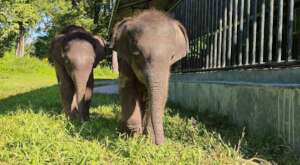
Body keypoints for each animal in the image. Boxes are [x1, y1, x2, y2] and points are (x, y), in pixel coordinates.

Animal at [110, 9, 190, 145]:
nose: (161, 145)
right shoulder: (124, 61)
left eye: (171, 57)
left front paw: (147, 138)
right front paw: (133, 136)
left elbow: (156, 95)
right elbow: (127, 87)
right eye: (137, 55)